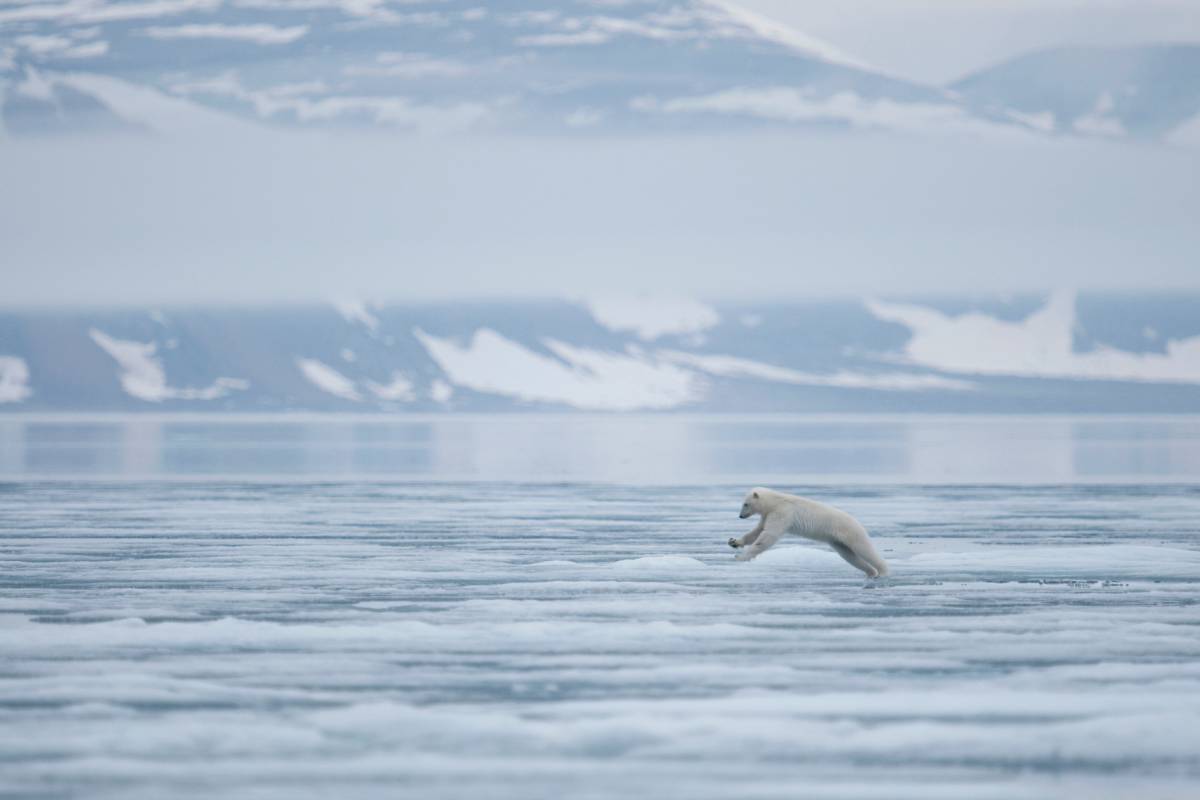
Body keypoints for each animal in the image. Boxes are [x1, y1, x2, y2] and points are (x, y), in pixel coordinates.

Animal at [724, 484, 888, 578]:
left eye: (745, 504)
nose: (740, 516)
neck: (775, 501)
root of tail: (857, 522)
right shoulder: (768, 514)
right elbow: (757, 531)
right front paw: (734, 542)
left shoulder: (782, 512)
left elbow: (768, 535)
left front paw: (740, 557)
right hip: (838, 541)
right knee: (849, 556)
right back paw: (871, 573)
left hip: (850, 532)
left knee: (864, 549)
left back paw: (882, 571)